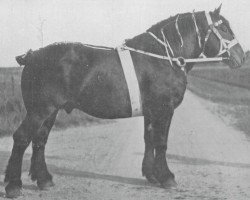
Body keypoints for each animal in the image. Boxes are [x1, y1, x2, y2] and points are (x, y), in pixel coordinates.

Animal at [4, 5, 245, 198]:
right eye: (223, 28)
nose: (241, 57)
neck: (162, 56)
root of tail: (32, 56)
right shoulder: (164, 109)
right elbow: (161, 142)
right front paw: (167, 177)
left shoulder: (151, 112)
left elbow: (149, 139)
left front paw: (151, 175)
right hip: (39, 111)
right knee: (22, 138)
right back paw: (13, 186)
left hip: (50, 111)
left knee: (40, 140)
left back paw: (44, 180)